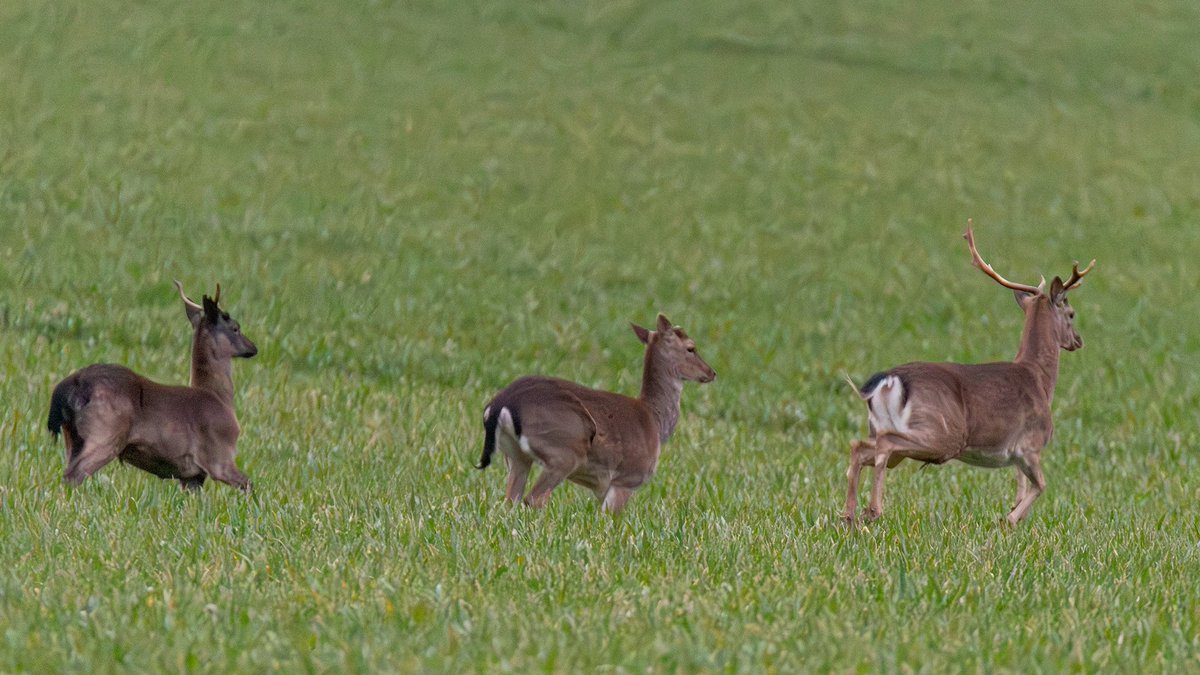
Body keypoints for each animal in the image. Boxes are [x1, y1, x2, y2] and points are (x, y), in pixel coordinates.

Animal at [46, 281, 258, 492]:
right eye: (235, 328)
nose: (253, 348)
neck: (218, 397)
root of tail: (67, 388)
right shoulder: (218, 456)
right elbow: (249, 484)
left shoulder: (192, 476)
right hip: (104, 433)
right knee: (72, 475)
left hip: (72, 437)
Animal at [475, 312, 720, 511]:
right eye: (691, 347)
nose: (711, 372)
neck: (655, 420)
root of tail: (500, 404)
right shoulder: (627, 478)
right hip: (562, 451)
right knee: (534, 498)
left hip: (515, 455)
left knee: (510, 500)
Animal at [844, 220, 1099, 526]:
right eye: (1071, 313)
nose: (1078, 340)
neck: (1040, 379)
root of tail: (888, 380)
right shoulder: (1030, 444)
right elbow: (1041, 485)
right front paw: (1009, 520)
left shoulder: (1017, 457)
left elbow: (1022, 487)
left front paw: (1013, 513)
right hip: (941, 434)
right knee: (881, 446)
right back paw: (873, 510)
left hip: (886, 428)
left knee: (860, 447)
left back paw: (849, 515)